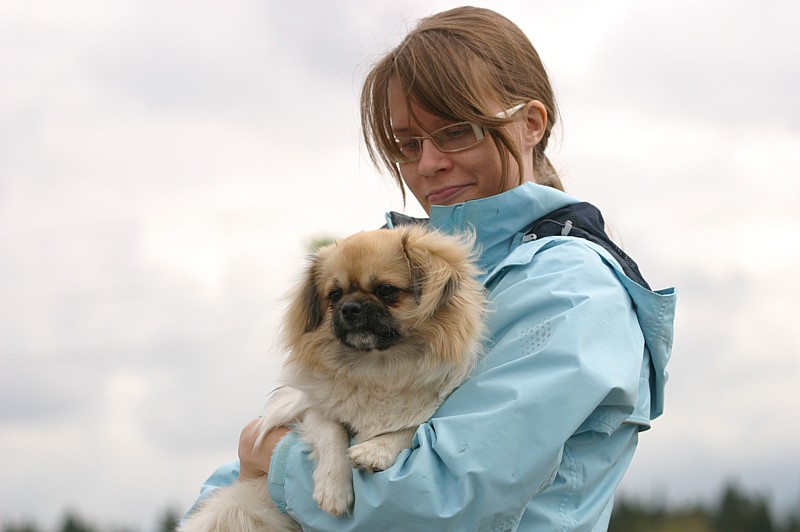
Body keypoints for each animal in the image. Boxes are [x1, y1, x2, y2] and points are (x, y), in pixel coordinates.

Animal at [179, 225, 485, 531]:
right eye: (335, 295)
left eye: (385, 290)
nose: (350, 307)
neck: (379, 365)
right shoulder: (309, 409)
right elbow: (332, 431)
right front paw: (333, 490)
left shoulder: (426, 411)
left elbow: (407, 429)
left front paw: (375, 450)